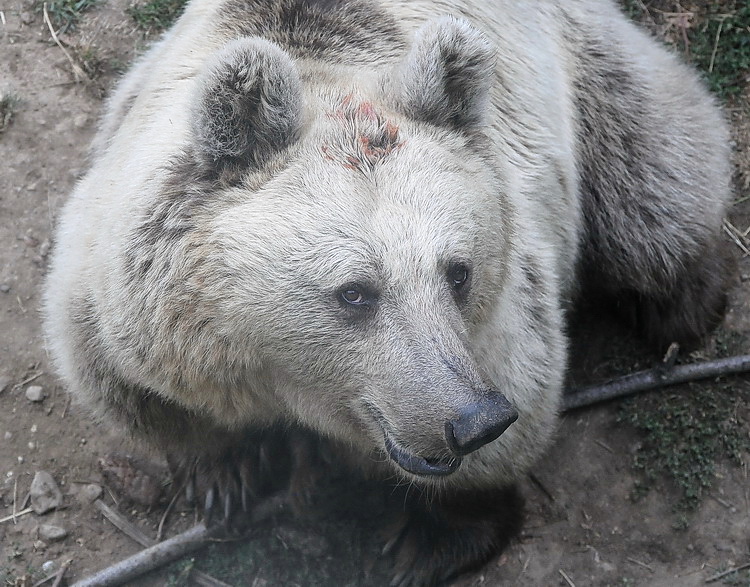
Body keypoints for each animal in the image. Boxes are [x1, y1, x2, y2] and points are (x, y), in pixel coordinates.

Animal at [42, 0, 736, 584]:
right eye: (356, 291)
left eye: (457, 271)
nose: (472, 419)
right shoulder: (121, 299)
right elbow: (144, 394)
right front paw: (225, 473)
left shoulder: (504, 311)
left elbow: (523, 386)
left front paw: (427, 540)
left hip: (593, 85)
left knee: (654, 187)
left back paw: (685, 301)